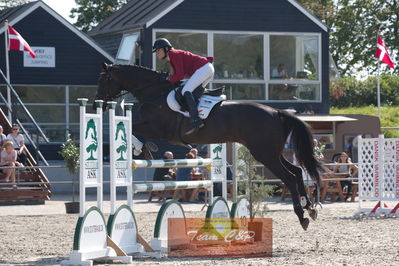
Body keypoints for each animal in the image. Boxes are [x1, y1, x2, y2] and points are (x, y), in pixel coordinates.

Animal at [97, 62, 324, 231]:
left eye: (104, 80)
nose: (96, 103)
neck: (155, 93)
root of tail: (277, 113)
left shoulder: (156, 128)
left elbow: (133, 130)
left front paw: (141, 149)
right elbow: (134, 131)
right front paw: (144, 150)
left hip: (264, 154)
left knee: (289, 177)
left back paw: (302, 216)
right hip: (273, 152)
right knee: (297, 171)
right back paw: (310, 208)